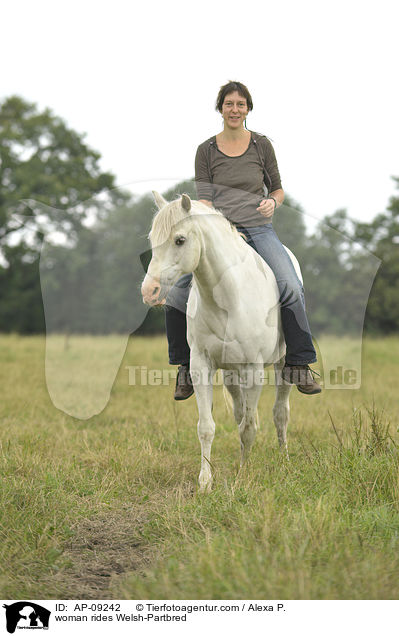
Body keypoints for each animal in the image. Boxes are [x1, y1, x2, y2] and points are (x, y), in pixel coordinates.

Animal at [142, 193, 302, 492]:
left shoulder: (253, 370)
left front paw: (244, 476)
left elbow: (249, 428)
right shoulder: (201, 366)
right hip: (230, 373)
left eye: (180, 240)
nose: (149, 291)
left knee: (280, 414)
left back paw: (285, 462)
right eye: (152, 239)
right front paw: (205, 482)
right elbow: (208, 427)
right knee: (241, 413)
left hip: (283, 363)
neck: (228, 299)